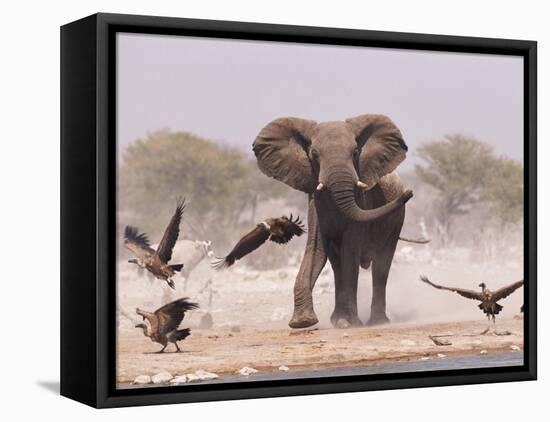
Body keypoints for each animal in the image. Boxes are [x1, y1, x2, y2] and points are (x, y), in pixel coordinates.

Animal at [254, 113, 414, 328]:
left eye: (355, 153)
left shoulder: (361, 200)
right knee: (337, 264)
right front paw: (303, 322)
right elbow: (315, 249)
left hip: (396, 221)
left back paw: (377, 322)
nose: (410, 193)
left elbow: (351, 249)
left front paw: (351, 323)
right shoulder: (315, 202)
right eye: (314, 155)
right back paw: (338, 319)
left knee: (381, 264)